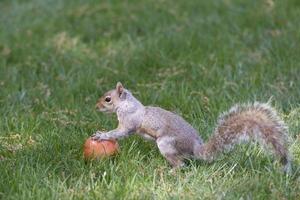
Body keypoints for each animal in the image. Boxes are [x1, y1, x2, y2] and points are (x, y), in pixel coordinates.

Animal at [92, 82, 292, 173]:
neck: (127, 103)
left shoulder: (129, 121)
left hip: (166, 144)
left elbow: (121, 132)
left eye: (108, 99)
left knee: (181, 164)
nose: (96, 107)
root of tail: (196, 149)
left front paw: (102, 135)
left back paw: (171, 171)